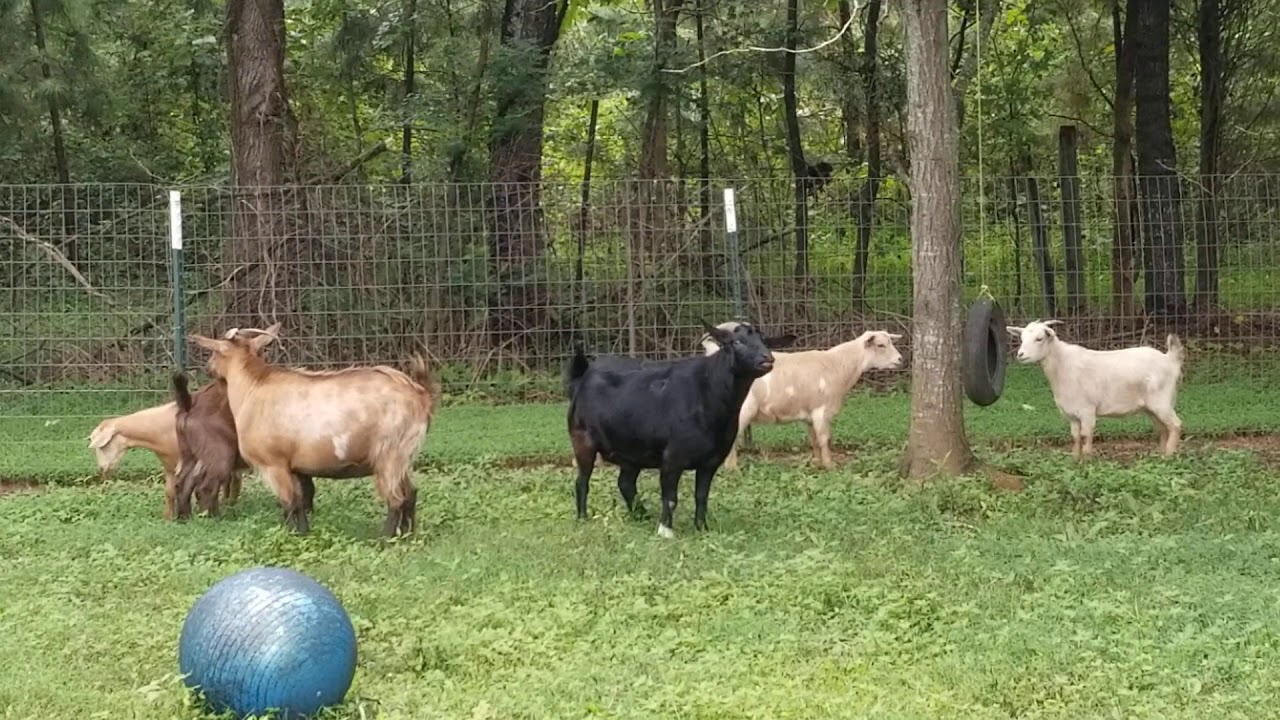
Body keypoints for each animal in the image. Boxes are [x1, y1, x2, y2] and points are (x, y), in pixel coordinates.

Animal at [171, 373, 247, 520]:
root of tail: (190, 403)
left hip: (190, 454)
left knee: (183, 483)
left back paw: (185, 517)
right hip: (221, 455)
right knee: (206, 487)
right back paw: (214, 517)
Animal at [191, 324, 440, 536]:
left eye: (214, 353)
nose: (208, 367)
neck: (253, 386)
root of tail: (420, 395)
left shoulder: (274, 464)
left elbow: (290, 503)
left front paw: (296, 535)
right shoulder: (295, 467)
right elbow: (301, 501)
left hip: (389, 455)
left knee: (396, 499)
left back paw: (384, 538)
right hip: (403, 457)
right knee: (411, 493)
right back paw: (407, 534)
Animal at [565, 320, 776, 538]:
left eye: (763, 340)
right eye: (737, 341)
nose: (767, 358)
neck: (708, 391)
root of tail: (583, 375)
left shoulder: (710, 462)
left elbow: (701, 496)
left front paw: (701, 528)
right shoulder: (672, 458)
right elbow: (670, 497)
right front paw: (665, 530)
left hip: (633, 451)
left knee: (625, 483)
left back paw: (641, 515)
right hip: (582, 440)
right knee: (582, 481)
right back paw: (583, 518)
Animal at [723, 330, 904, 471]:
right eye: (880, 345)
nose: (901, 359)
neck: (837, 366)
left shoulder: (810, 415)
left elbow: (814, 440)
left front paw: (818, 463)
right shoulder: (821, 410)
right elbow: (824, 439)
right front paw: (830, 465)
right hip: (743, 410)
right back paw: (732, 469)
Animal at [1007, 320, 1185, 460]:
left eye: (1039, 338)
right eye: (1021, 338)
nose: (1020, 354)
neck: (1063, 366)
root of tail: (1170, 359)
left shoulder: (1087, 411)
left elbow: (1086, 436)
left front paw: (1087, 461)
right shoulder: (1071, 414)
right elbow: (1075, 437)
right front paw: (1075, 460)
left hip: (1161, 401)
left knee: (1175, 425)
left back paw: (1168, 456)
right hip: (1151, 407)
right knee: (1163, 429)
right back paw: (1160, 455)